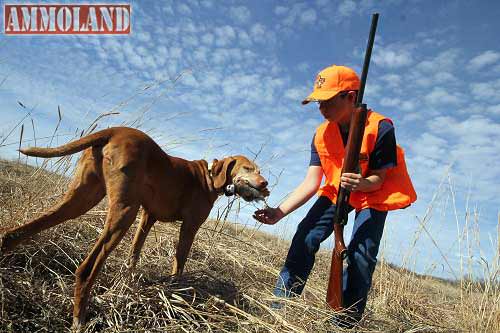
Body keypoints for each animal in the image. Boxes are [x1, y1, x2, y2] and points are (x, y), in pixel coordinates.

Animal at [0, 126, 270, 330]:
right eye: (247, 168)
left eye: (259, 170)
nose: (265, 184)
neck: (209, 175)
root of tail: (114, 130)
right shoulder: (190, 226)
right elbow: (179, 261)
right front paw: (175, 291)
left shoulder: (147, 217)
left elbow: (134, 254)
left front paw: (128, 281)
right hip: (123, 212)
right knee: (86, 269)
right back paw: (80, 319)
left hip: (81, 199)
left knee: (15, 233)